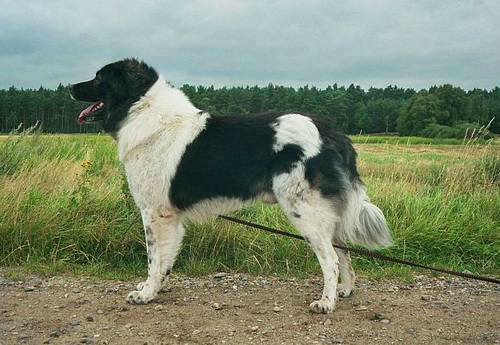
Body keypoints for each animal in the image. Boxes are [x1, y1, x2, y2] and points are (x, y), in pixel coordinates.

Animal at [69, 58, 390, 312]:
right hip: (323, 211)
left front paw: (146, 294)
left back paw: (326, 302)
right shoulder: (170, 216)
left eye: (98, 78)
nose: (70, 87)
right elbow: (165, 261)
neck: (142, 110)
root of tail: (330, 130)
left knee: (331, 258)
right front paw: (156, 287)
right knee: (343, 250)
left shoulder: (153, 211)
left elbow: (153, 258)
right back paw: (345, 290)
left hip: (304, 209)